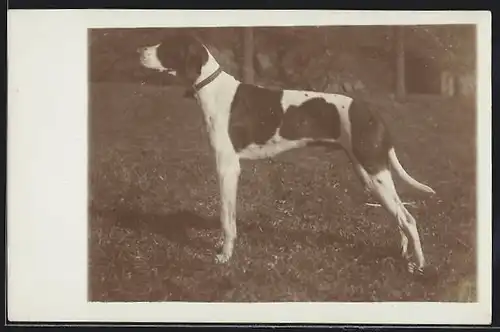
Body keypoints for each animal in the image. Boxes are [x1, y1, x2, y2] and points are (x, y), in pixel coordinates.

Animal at [139, 32, 436, 274]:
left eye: (167, 47)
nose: (139, 50)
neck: (214, 89)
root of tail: (374, 114)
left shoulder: (227, 168)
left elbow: (226, 217)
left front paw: (225, 256)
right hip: (370, 177)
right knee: (400, 218)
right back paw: (405, 257)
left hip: (376, 174)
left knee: (408, 219)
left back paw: (420, 265)